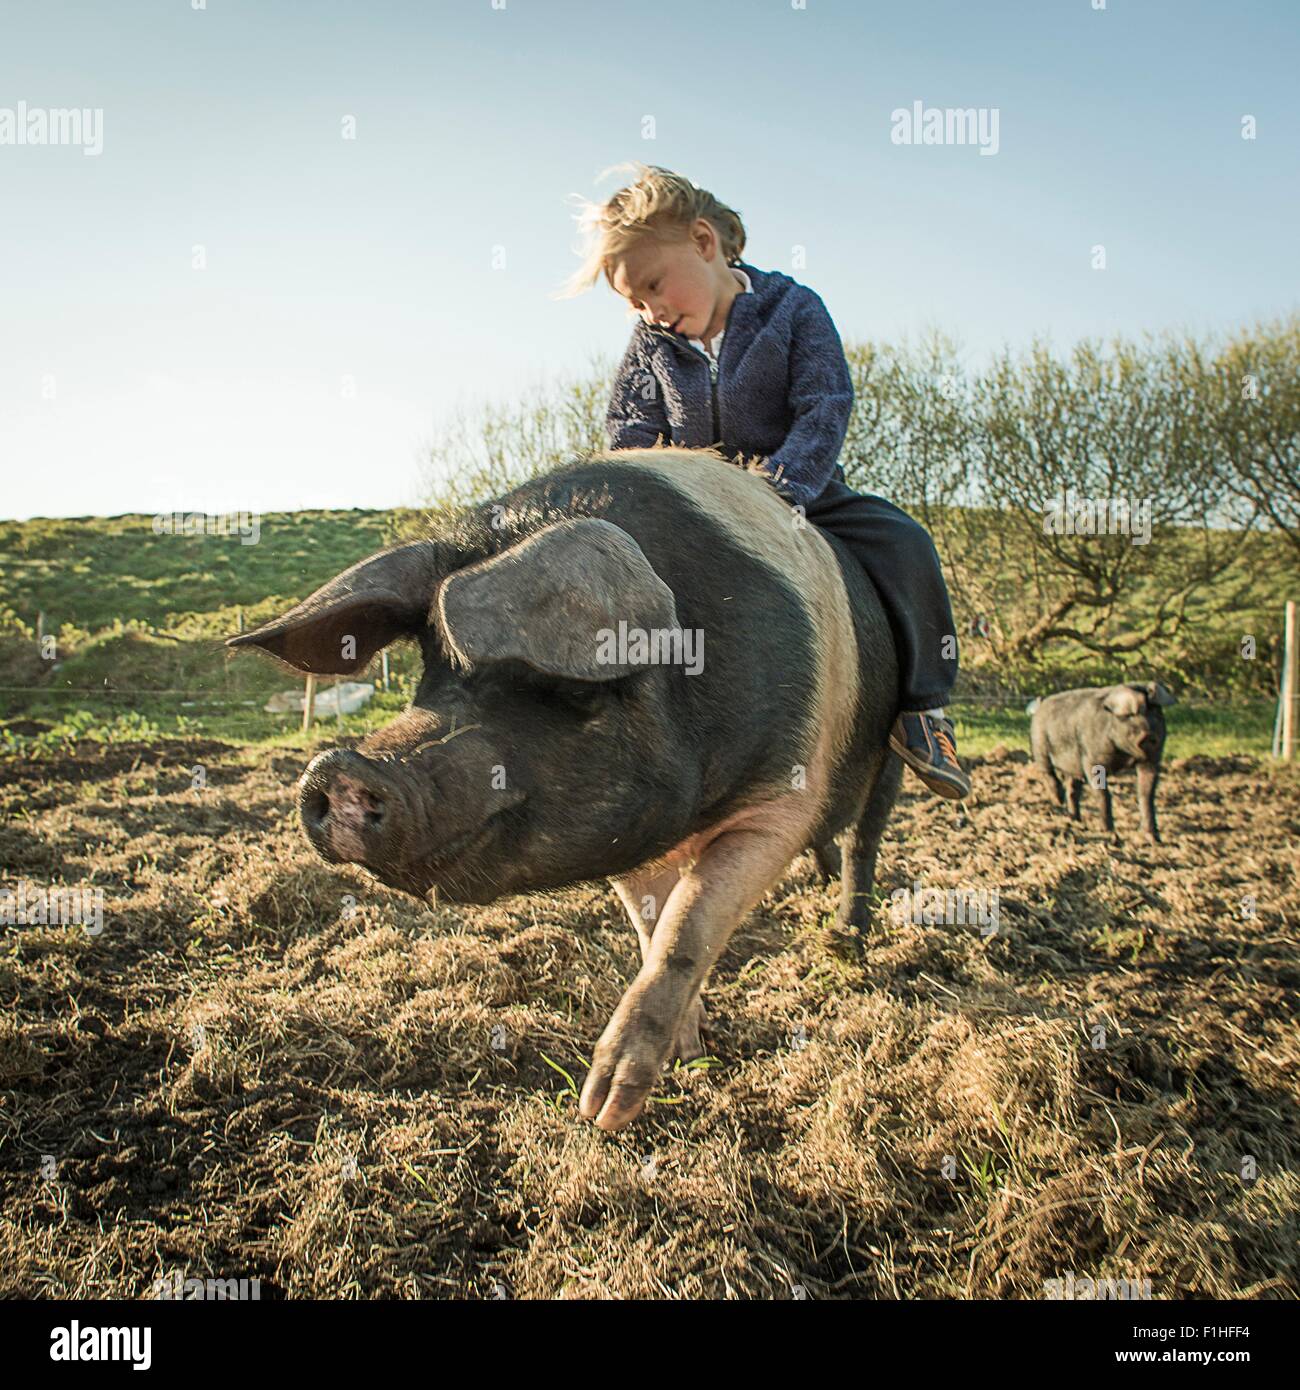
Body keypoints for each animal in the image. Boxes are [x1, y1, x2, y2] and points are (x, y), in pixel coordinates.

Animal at [229, 450, 900, 1134]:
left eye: (575, 688)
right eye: (428, 668)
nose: (339, 770)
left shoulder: (781, 800)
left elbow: (688, 927)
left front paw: (604, 1108)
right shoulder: (632, 839)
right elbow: (653, 926)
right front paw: (686, 1054)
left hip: (893, 747)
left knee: (865, 837)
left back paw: (848, 939)